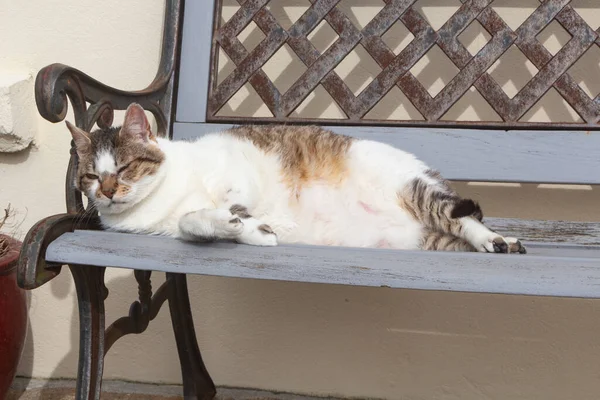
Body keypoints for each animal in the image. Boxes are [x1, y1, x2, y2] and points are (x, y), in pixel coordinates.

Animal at [64, 103, 524, 253]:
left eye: (124, 167)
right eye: (90, 176)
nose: (108, 192)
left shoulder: (234, 166)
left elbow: (230, 199)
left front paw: (246, 222)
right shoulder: (173, 227)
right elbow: (194, 221)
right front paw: (243, 229)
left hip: (413, 187)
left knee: (463, 217)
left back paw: (495, 240)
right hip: (425, 238)